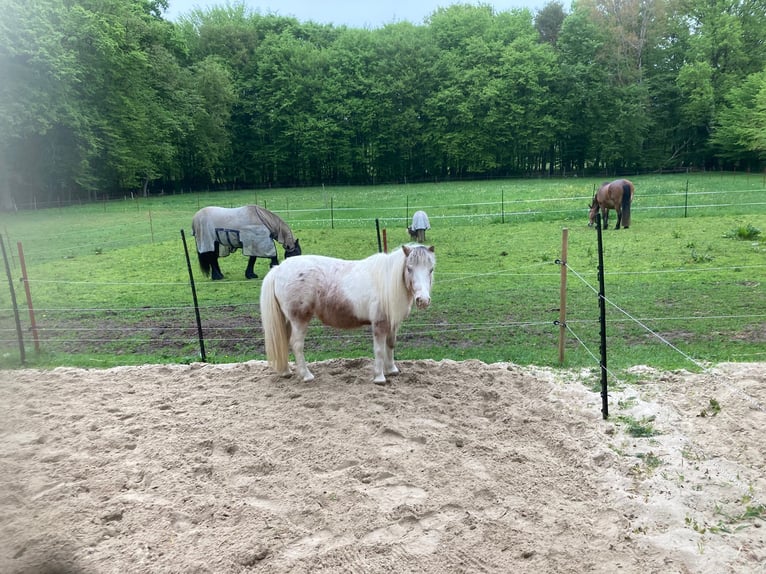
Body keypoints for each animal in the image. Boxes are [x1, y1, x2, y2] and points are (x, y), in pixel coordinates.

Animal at [260, 244, 435, 384]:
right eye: (409, 268)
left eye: (431, 269)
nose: (423, 300)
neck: (387, 283)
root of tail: (278, 269)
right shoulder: (379, 324)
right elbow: (379, 349)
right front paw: (379, 377)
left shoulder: (392, 324)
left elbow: (390, 345)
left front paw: (392, 370)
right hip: (299, 320)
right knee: (297, 345)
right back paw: (306, 375)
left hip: (287, 320)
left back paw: (286, 372)